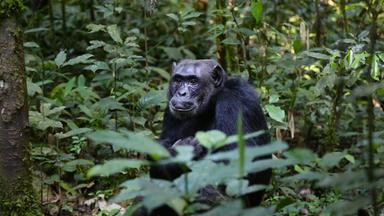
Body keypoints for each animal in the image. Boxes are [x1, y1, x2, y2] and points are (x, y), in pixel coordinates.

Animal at [146, 58, 270, 214]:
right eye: (178, 80)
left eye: (193, 81)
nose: (181, 93)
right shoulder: (170, 109)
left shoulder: (233, 102)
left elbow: (237, 165)